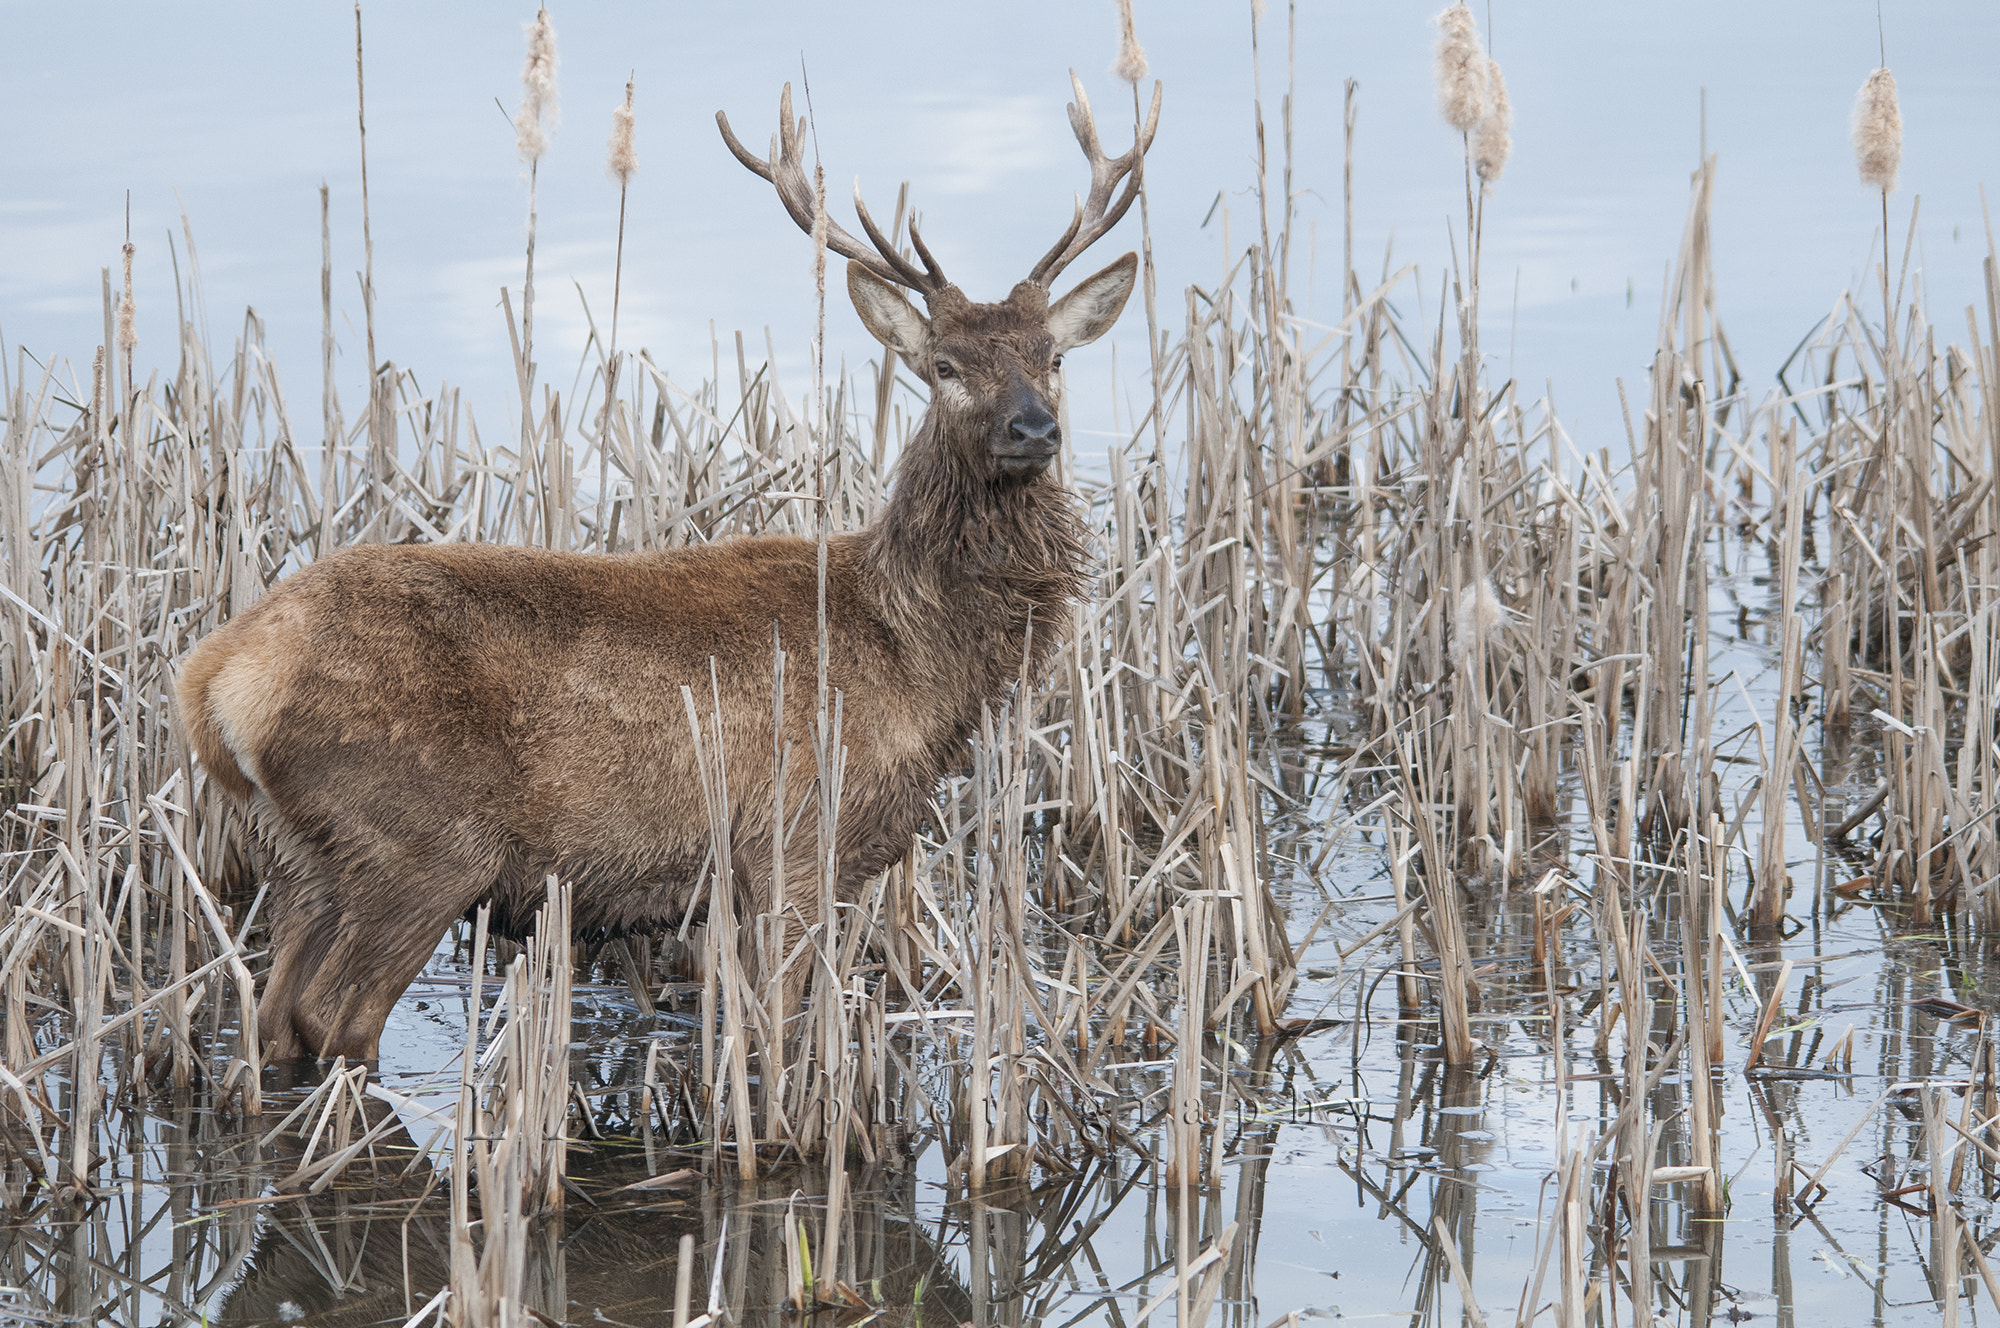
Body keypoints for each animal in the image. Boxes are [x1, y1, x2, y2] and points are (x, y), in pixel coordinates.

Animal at [173, 75, 1161, 1062]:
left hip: (306, 852)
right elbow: (779, 1035)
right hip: (419, 840)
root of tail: (214, 680)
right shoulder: (793, 840)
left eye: (1053, 356)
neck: (914, 655)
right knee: (331, 1015)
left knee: (271, 1016)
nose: (1034, 427)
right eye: (946, 366)